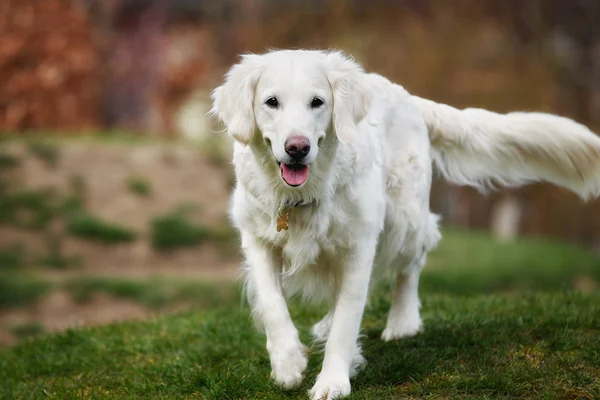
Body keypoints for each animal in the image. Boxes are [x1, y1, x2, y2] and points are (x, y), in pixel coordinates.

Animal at [210, 48, 600, 398]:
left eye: (317, 102)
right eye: (271, 102)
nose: (297, 148)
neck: (301, 196)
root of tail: (408, 97)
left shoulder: (359, 245)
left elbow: (348, 319)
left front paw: (333, 381)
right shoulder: (256, 238)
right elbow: (273, 304)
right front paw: (288, 363)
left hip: (404, 220)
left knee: (411, 266)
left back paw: (402, 321)